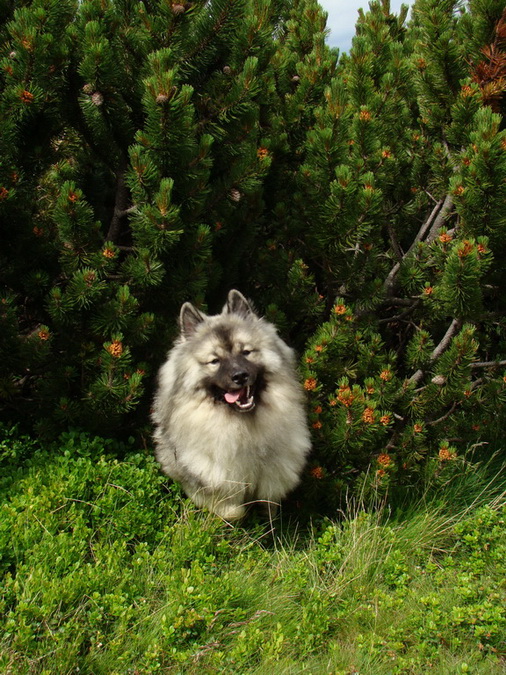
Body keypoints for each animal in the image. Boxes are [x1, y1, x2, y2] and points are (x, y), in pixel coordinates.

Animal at [152, 288, 312, 520]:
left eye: (245, 352)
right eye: (215, 361)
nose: (240, 376)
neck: (244, 425)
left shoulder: (272, 476)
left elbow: (268, 507)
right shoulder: (220, 482)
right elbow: (231, 512)